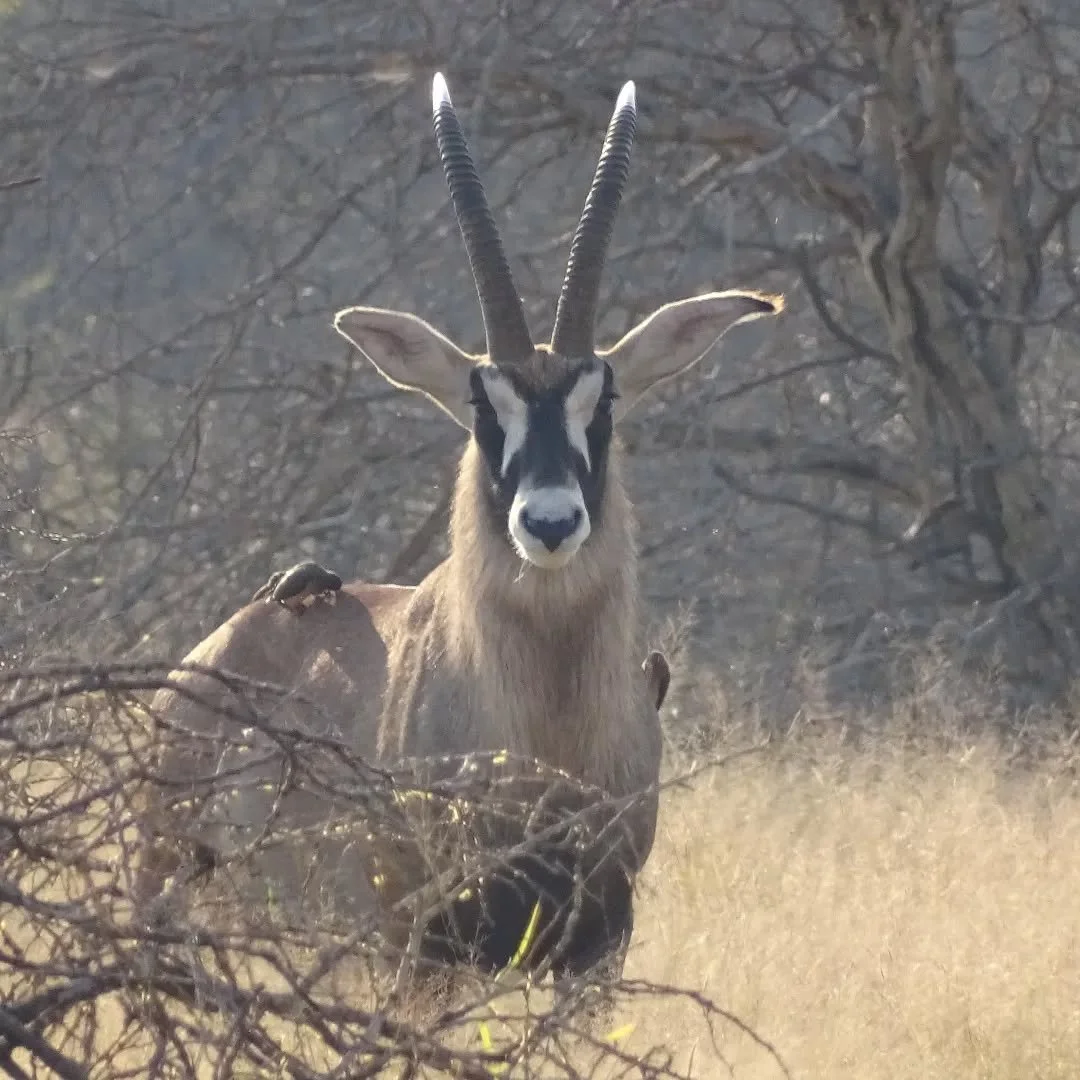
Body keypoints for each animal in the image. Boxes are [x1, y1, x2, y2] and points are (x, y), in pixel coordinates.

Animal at [134, 72, 782, 990]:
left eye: (605, 398)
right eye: (482, 404)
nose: (549, 522)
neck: (547, 728)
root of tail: (205, 659)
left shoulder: (595, 951)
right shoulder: (418, 951)